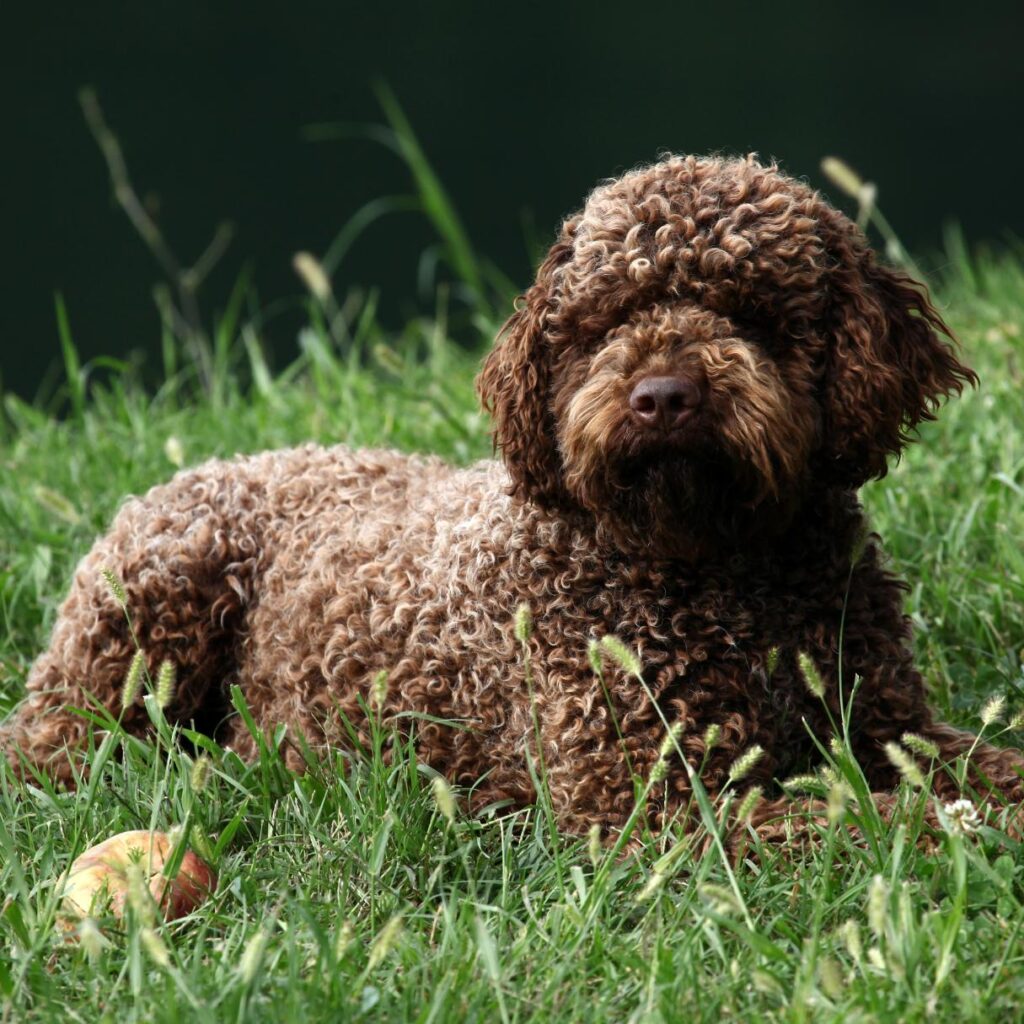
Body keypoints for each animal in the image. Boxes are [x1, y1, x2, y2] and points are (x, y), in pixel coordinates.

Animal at [2, 153, 1024, 839]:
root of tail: (208, 467)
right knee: (51, 741)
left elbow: (974, 769)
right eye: (605, 322)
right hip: (153, 614)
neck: (722, 572)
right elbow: (866, 819)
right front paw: (959, 836)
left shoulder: (891, 722)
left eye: (751, 312)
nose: (662, 397)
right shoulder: (651, 803)